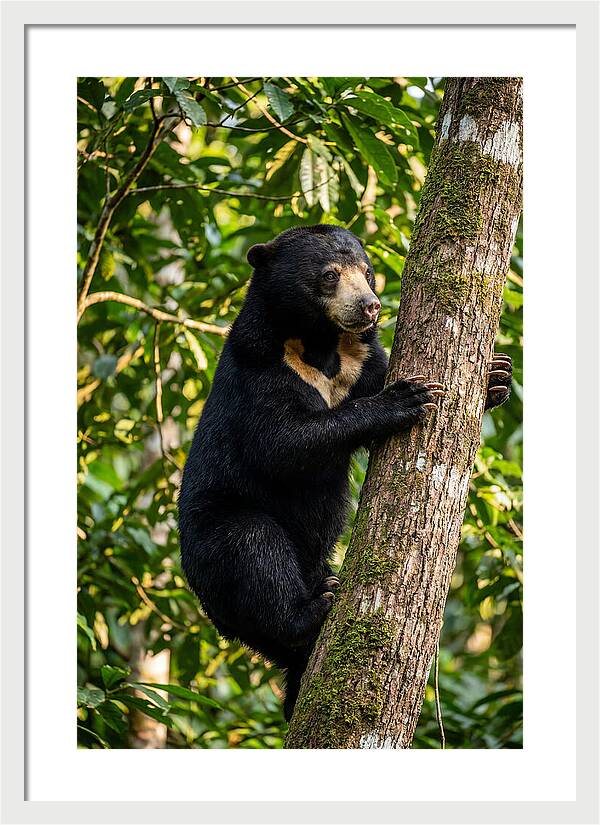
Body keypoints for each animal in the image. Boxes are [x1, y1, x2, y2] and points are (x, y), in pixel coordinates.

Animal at [178, 224, 512, 722]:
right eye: (330, 275)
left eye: (368, 272)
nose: (370, 305)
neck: (320, 345)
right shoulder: (259, 369)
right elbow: (281, 444)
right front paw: (405, 398)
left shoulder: (361, 360)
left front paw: (496, 376)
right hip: (214, 537)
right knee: (253, 548)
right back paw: (314, 608)